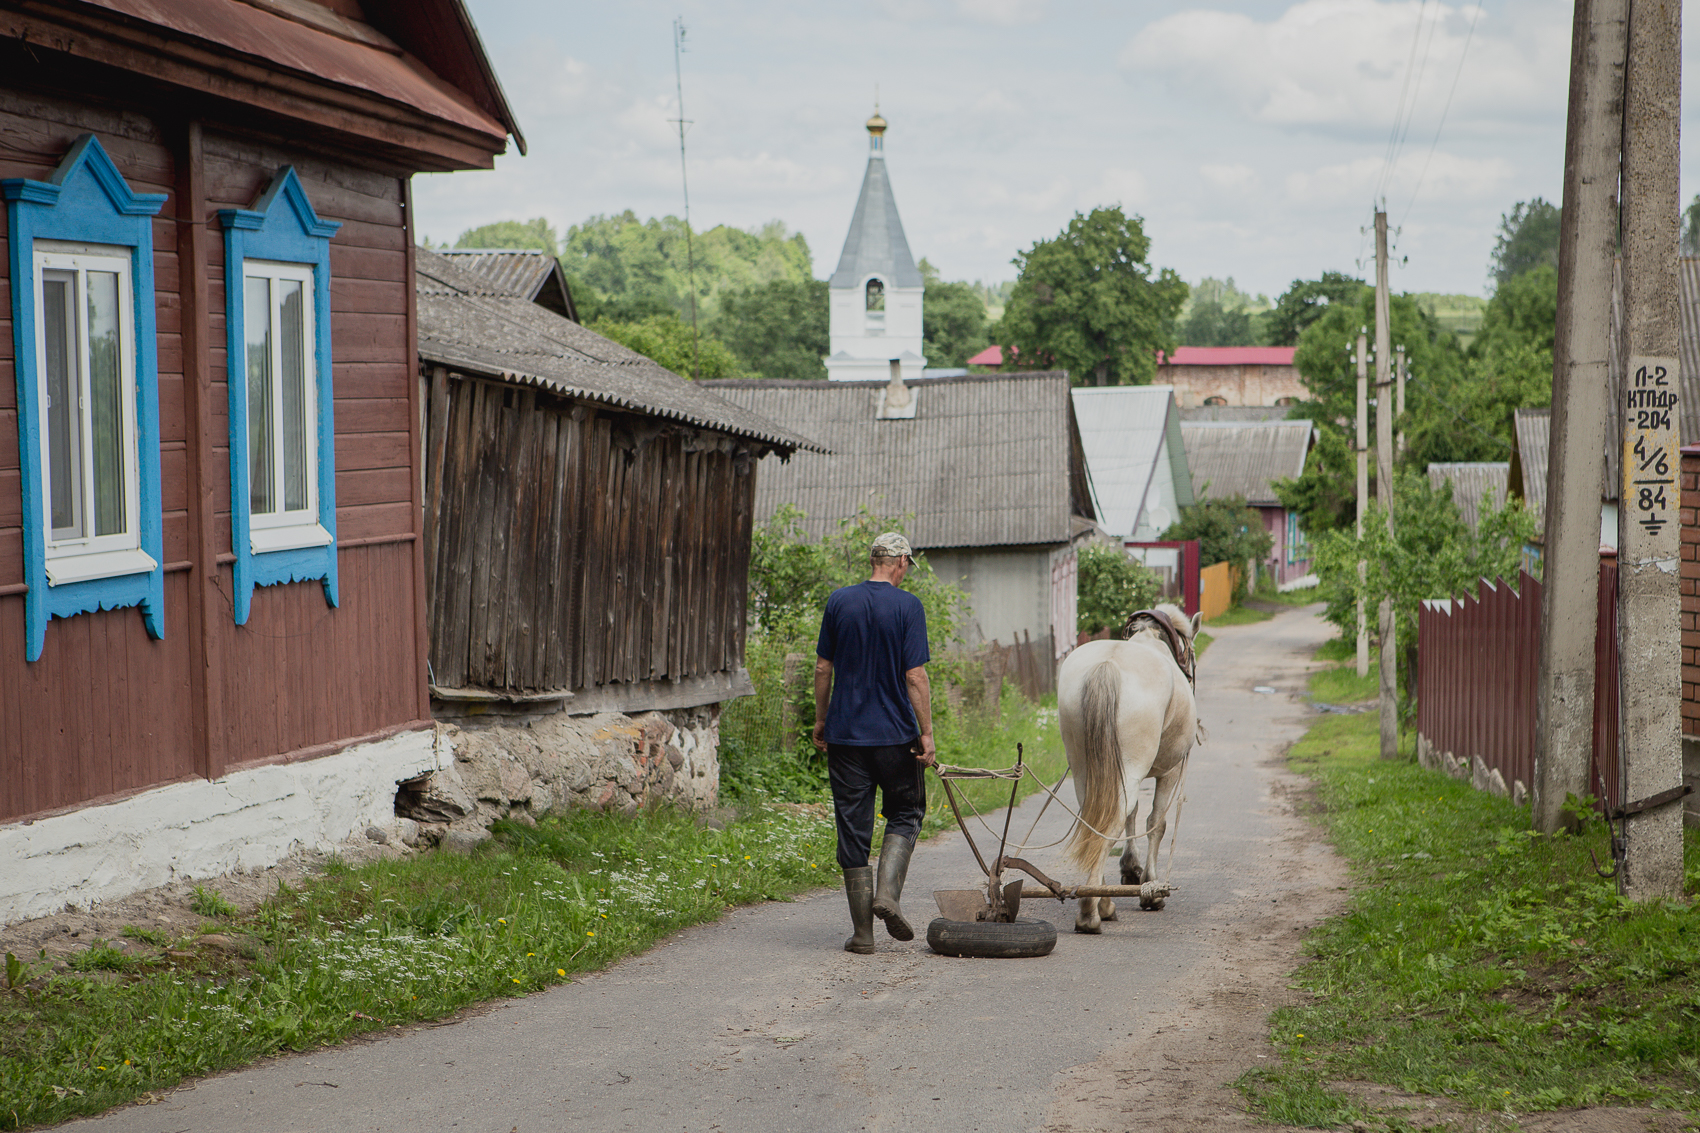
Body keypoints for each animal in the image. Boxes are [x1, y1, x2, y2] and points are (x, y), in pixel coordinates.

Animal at [1054, 605, 1203, 932]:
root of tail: (1108, 665)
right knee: (1112, 822)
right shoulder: (1171, 771)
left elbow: (1132, 816)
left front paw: (1130, 870)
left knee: (1099, 820)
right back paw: (1092, 910)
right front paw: (1151, 888)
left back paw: (1099, 900)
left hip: (1086, 770)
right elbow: (1155, 823)